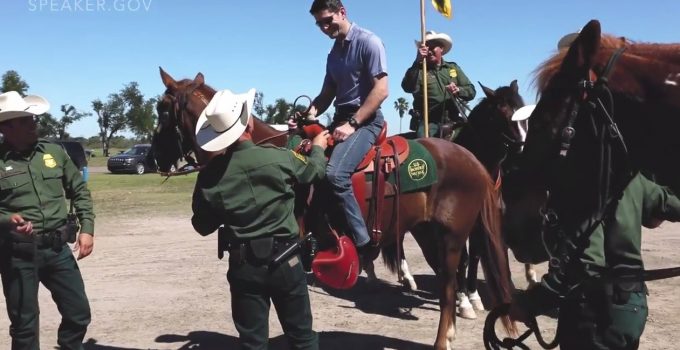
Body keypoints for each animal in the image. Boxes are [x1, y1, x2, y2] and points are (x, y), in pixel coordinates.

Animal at [153, 68, 516, 350]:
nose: (154, 157)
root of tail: (470, 159)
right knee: (446, 283)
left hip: (451, 237)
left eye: (162, 109)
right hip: (427, 234)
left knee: (450, 285)